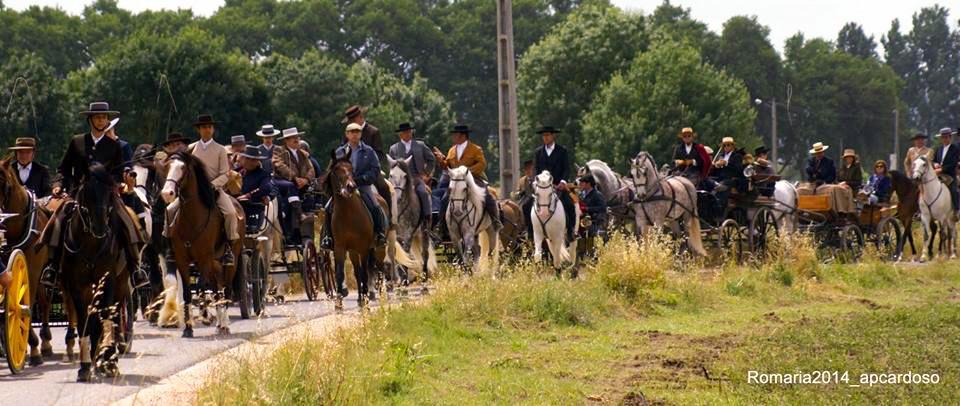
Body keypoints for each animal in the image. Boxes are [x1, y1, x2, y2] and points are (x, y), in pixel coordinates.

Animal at [57, 164, 134, 380]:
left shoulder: (107, 282)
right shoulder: (76, 287)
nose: (100, 228)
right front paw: (84, 366)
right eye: (86, 193)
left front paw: (107, 361)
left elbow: (103, 318)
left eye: (109, 192)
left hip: (121, 285)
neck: (91, 243)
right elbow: (84, 321)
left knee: (113, 318)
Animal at [159, 152, 242, 336]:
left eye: (183, 168)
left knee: (226, 288)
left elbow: (201, 286)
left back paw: (225, 324)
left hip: (230, 261)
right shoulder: (182, 260)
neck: (192, 218)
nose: (167, 193)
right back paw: (219, 323)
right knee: (217, 288)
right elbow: (188, 292)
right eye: (167, 167)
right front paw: (188, 328)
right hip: (214, 263)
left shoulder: (204, 258)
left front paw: (205, 316)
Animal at [328, 159, 388, 308]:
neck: (347, 213)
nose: (350, 187)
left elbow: (365, 273)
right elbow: (340, 273)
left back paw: (382, 295)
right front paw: (339, 303)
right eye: (336, 170)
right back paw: (360, 298)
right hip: (353, 251)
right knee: (358, 272)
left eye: (351, 169)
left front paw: (366, 299)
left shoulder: (363, 248)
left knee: (380, 269)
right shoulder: (340, 248)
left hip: (379, 248)